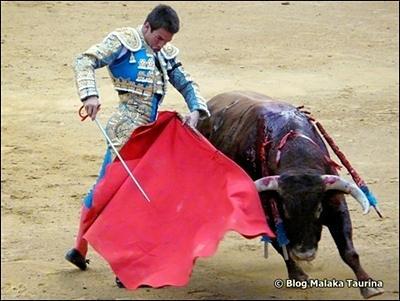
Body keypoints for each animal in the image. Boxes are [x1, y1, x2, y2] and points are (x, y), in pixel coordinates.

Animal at [197, 91, 384, 298]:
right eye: (285, 211)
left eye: (318, 210)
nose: (305, 254)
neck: (297, 162)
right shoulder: (267, 215)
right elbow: (281, 244)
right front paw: (299, 275)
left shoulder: (336, 205)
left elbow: (348, 250)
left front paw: (369, 286)